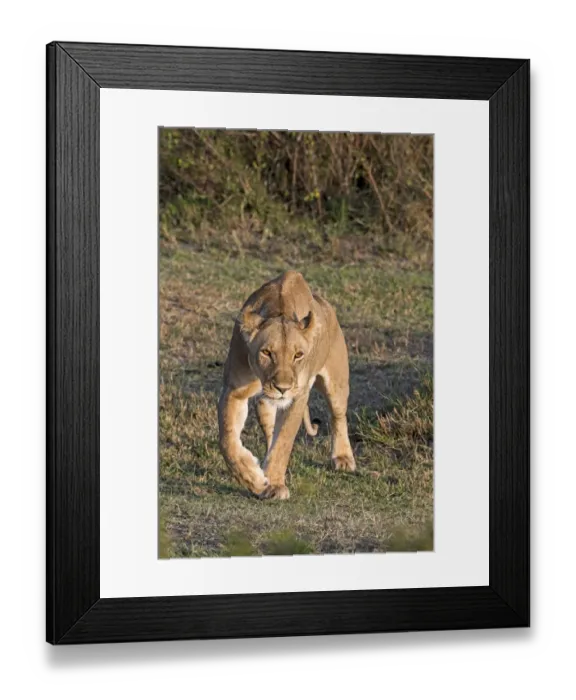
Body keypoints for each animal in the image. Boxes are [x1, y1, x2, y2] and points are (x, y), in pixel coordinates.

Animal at [218, 270, 356, 500]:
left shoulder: (297, 398)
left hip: (336, 383)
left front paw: (273, 485)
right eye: (266, 352)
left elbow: (283, 441)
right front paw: (253, 478)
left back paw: (343, 457)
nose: (282, 388)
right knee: (267, 421)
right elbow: (227, 440)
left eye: (298, 355)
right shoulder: (234, 389)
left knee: (338, 416)